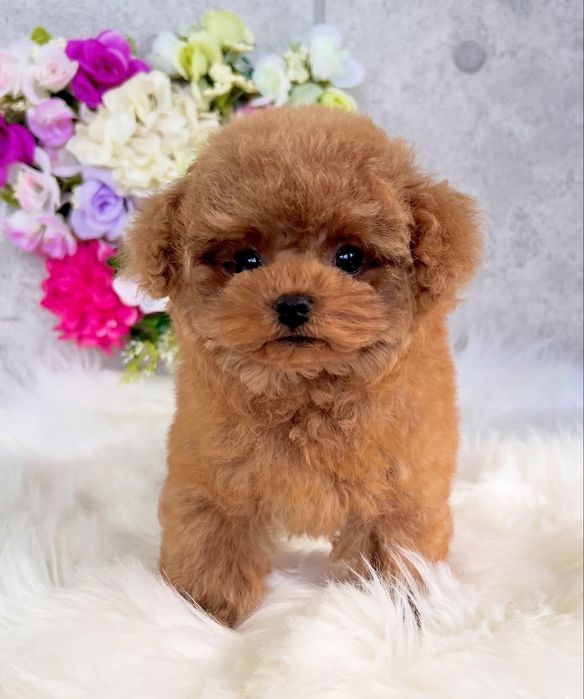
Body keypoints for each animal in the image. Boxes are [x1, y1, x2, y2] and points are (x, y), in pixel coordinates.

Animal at [124, 106, 482, 626]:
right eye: (245, 260)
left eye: (349, 257)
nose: (292, 303)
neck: (305, 391)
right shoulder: (213, 481)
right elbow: (211, 544)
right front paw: (203, 611)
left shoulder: (399, 489)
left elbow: (390, 552)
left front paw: (391, 610)